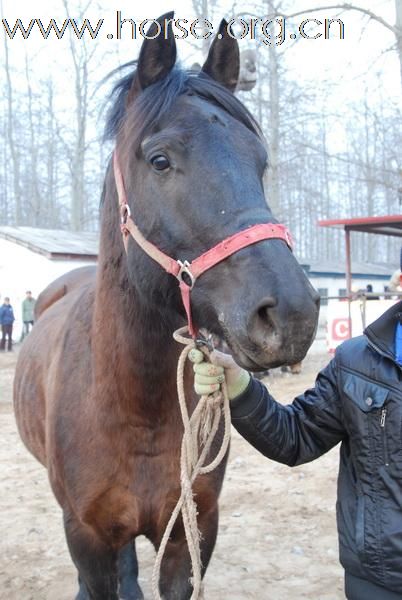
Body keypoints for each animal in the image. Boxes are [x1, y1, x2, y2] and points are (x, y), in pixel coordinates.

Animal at [13, 14, 320, 600]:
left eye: (261, 163)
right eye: (160, 160)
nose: (291, 314)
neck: (135, 406)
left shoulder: (191, 531)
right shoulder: (87, 535)